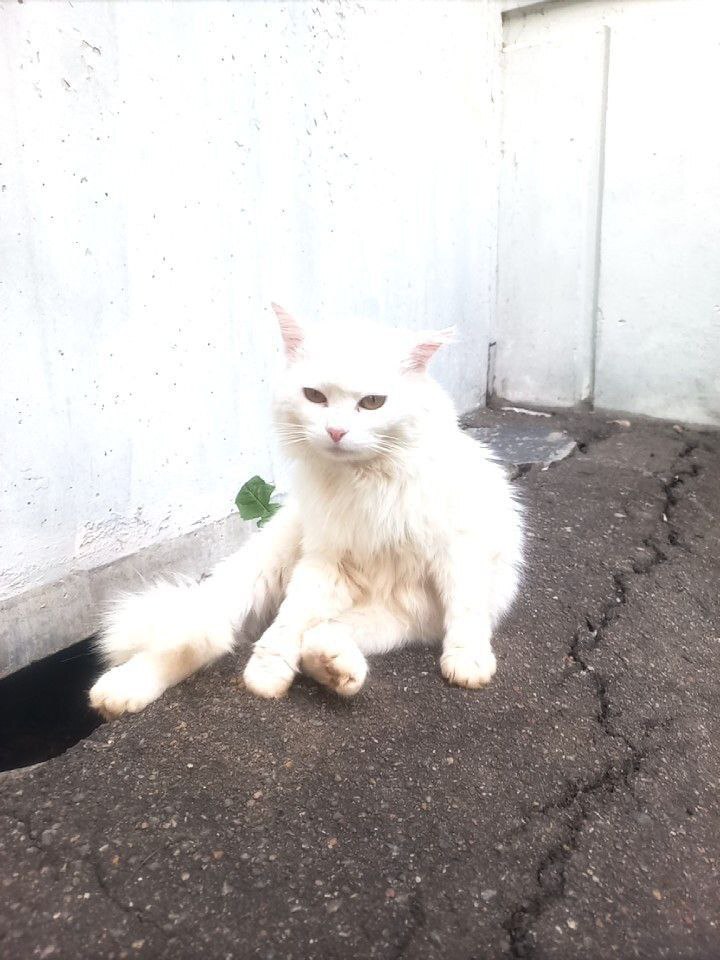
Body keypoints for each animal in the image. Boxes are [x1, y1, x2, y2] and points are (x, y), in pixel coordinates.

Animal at [90, 304, 524, 716]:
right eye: (315, 396)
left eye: (372, 403)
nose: (336, 431)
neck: (366, 481)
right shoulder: (326, 561)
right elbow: (288, 622)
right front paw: (266, 676)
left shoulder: (459, 549)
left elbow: (466, 609)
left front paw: (468, 662)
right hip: (263, 569)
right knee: (207, 634)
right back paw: (121, 689)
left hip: (395, 620)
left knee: (316, 636)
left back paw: (332, 667)